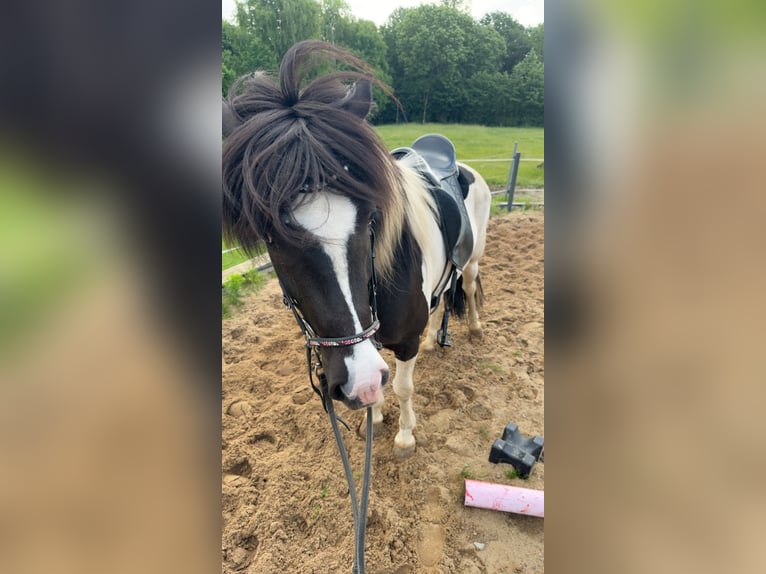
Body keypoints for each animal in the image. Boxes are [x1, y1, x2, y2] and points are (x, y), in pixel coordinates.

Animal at [222, 40, 491, 458]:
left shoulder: (403, 344)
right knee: (441, 301)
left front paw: (405, 435)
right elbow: (380, 389)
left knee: (468, 286)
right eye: (271, 238)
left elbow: (402, 386)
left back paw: (475, 329)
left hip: (473, 260)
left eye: (369, 219)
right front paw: (375, 417)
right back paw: (434, 339)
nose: (358, 381)